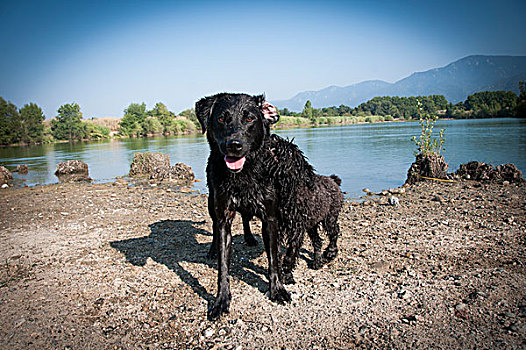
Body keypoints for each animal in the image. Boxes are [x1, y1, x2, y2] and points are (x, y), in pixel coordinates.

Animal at [196, 92, 344, 320]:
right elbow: (223, 267)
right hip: (213, 204)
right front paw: (221, 301)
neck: (244, 177)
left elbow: (275, 258)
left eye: (250, 118)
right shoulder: (224, 217)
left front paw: (278, 288)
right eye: (221, 119)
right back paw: (215, 248)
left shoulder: (273, 220)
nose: (234, 144)